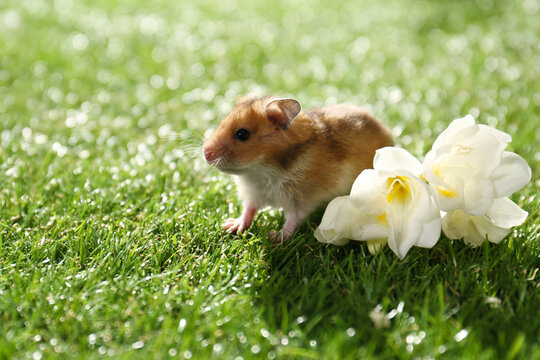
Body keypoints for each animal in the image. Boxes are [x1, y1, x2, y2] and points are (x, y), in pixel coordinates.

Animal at [202, 94, 392, 243]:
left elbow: (292, 220)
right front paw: (230, 226)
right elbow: (249, 210)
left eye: (242, 134)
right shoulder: (254, 192)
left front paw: (273, 237)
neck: (262, 171)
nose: (205, 154)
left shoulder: (301, 199)